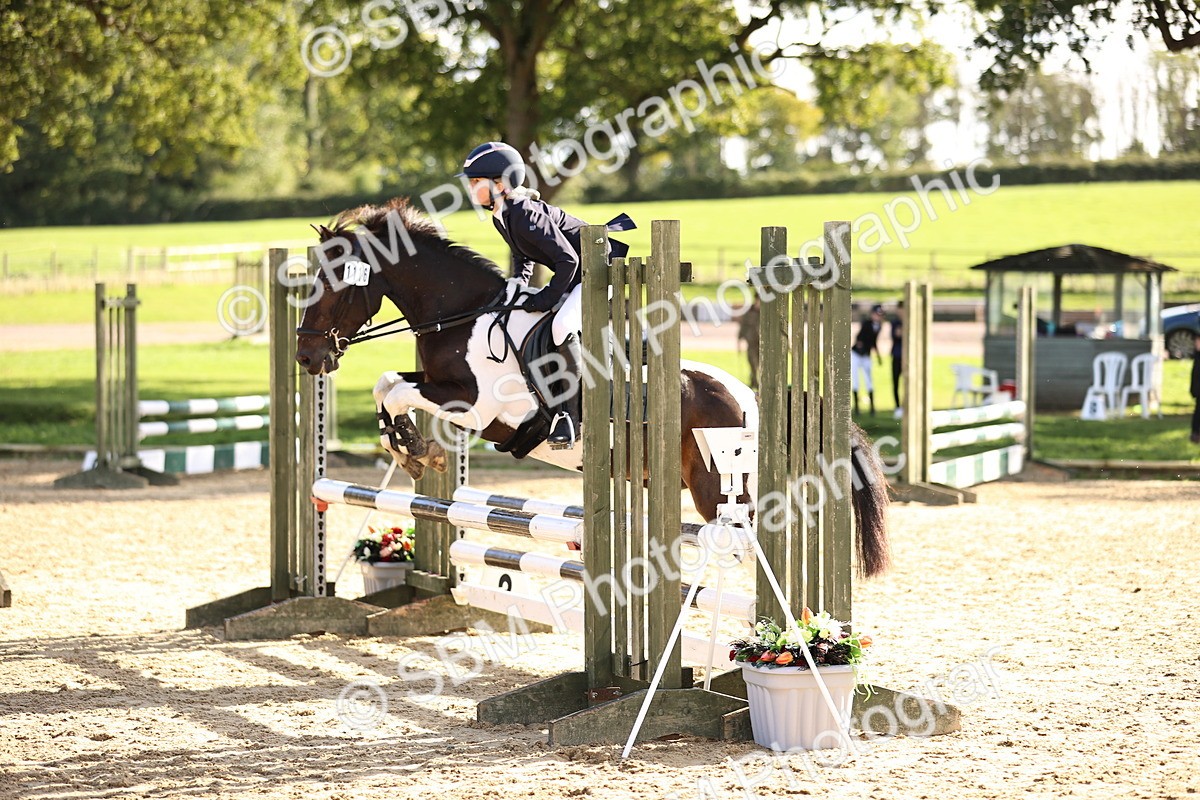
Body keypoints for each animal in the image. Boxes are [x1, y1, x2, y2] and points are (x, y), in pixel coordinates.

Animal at [294, 198, 891, 577]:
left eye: (335, 282)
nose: (307, 356)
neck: (462, 314)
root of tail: (754, 400)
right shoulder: (440, 384)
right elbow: (387, 384)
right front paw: (414, 450)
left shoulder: (478, 406)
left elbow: (395, 389)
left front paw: (416, 451)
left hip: (719, 489)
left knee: (749, 545)